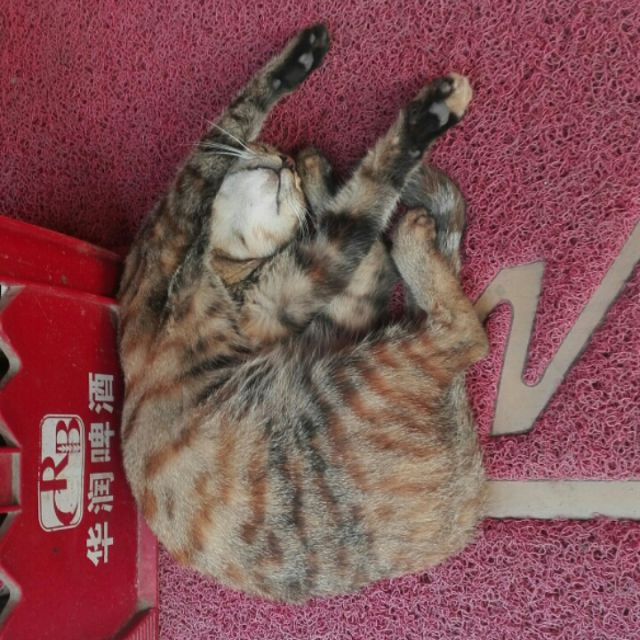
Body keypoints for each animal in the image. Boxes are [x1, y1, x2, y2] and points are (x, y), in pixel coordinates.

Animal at [118, 24, 488, 603]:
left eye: (278, 158)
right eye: (267, 149)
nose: (287, 163)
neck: (224, 262)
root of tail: (466, 498)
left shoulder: (305, 293)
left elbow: (360, 226)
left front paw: (318, 164)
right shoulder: (217, 237)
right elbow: (242, 123)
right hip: (364, 368)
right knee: (464, 332)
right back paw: (411, 228)